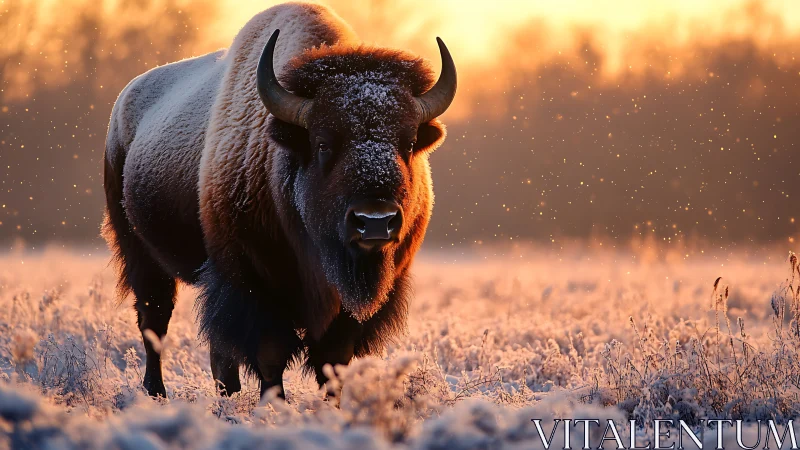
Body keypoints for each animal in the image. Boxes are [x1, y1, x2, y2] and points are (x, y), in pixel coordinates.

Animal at [102, 2, 456, 399]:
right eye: (322, 143)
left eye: (408, 143)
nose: (375, 221)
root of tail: (121, 109)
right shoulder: (252, 281)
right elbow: (270, 355)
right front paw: (274, 404)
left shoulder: (355, 305)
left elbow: (334, 360)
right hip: (140, 253)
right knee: (155, 321)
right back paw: (156, 392)